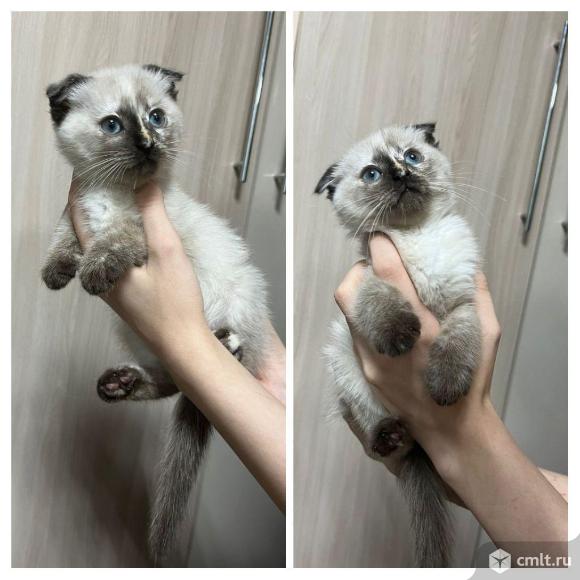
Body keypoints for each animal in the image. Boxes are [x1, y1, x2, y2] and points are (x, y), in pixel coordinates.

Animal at [41, 64, 271, 561]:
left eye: (156, 117)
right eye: (113, 125)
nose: (148, 143)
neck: (109, 192)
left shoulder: (140, 234)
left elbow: (117, 240)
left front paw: (93, 274)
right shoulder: (76, 211)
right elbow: (62, 237)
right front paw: (56, 272)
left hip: (225, 305)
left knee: (217, 362)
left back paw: (225, 345)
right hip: (133, 334)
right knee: (172, 380)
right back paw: (118, 384)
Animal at [314, 124, 481, 567]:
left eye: (411, 156)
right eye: (372, 174)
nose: (401, 175)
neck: (415, 238)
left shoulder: (463, 304)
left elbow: (456, 344)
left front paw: (444, 388)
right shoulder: (367, 279)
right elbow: (384, 304)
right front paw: (403, 336)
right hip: (343, 362)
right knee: (384, 432)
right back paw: (388, 437)